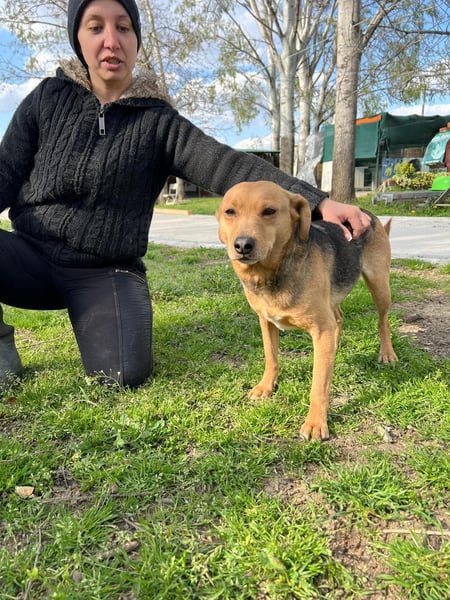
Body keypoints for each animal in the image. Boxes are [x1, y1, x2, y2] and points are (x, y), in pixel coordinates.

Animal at [216, 181, 398, 441]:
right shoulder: (266, 322)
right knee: (339, 318)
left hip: (379, 285)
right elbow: (271, 358)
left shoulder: (320, 328)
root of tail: (369, 214)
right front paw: (266, 387)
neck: (270, 273)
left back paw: (387, 353)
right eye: (230, 212)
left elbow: (318, 385)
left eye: (269, 211)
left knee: (383, 321)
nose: (242, 245)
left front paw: (315, 422)